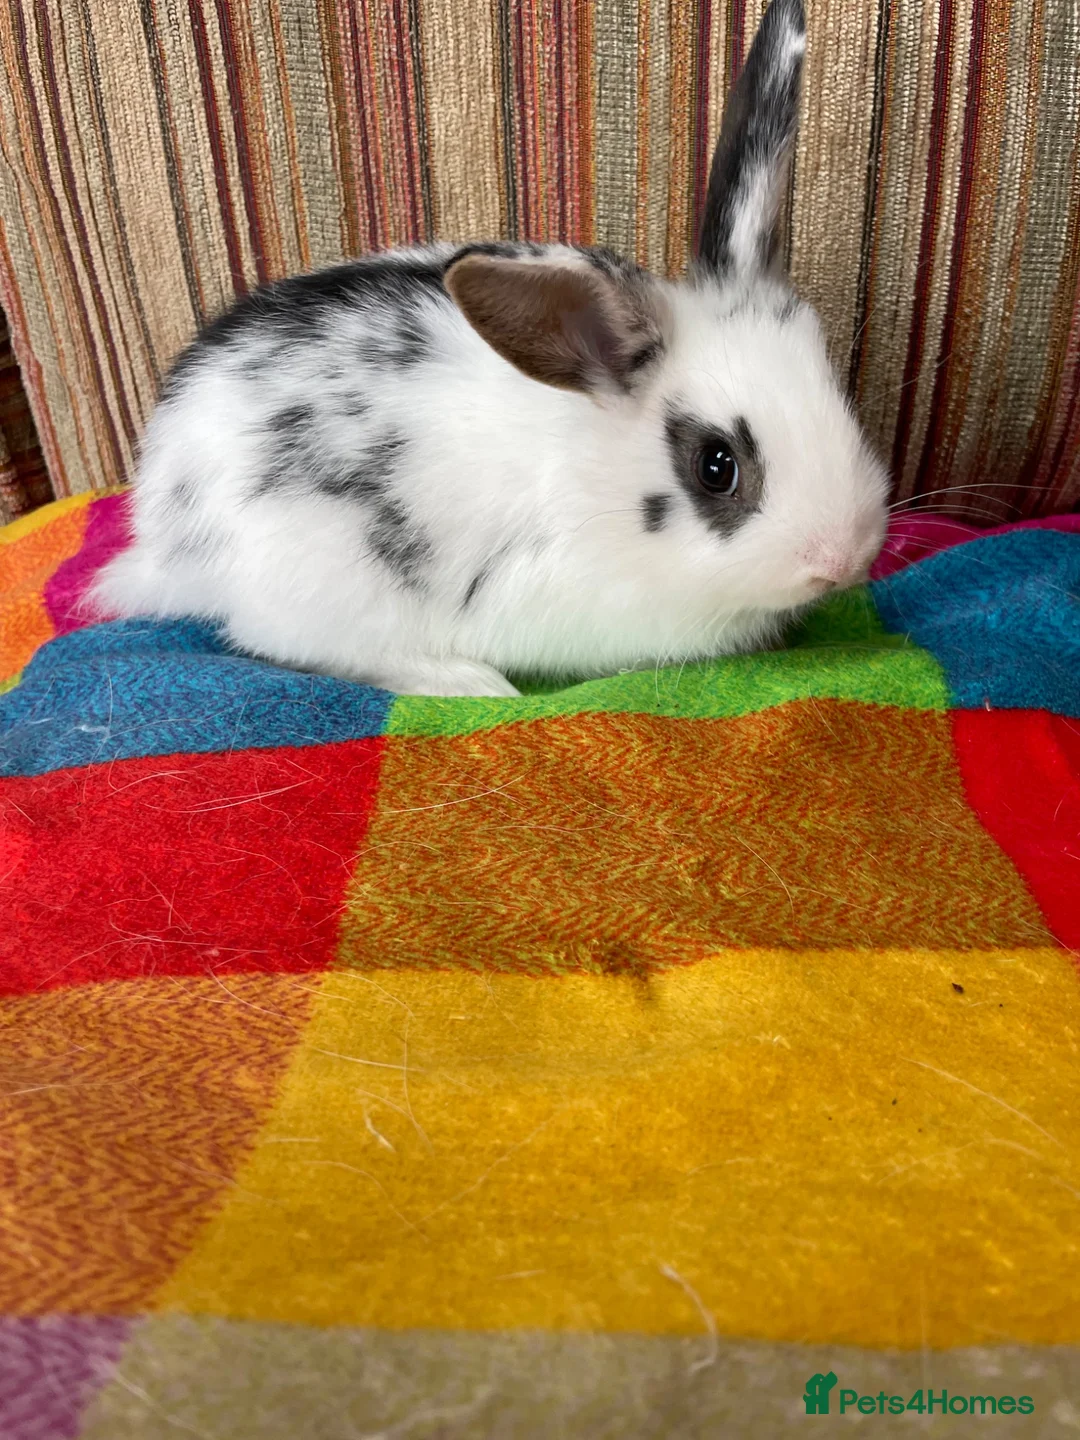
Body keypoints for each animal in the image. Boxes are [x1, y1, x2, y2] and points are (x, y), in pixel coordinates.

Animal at [93, 0, 888, 698]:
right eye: (716, 467)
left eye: (838, 396)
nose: (842, 559)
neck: (592, 477)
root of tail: (165, 520)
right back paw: (469, 682)